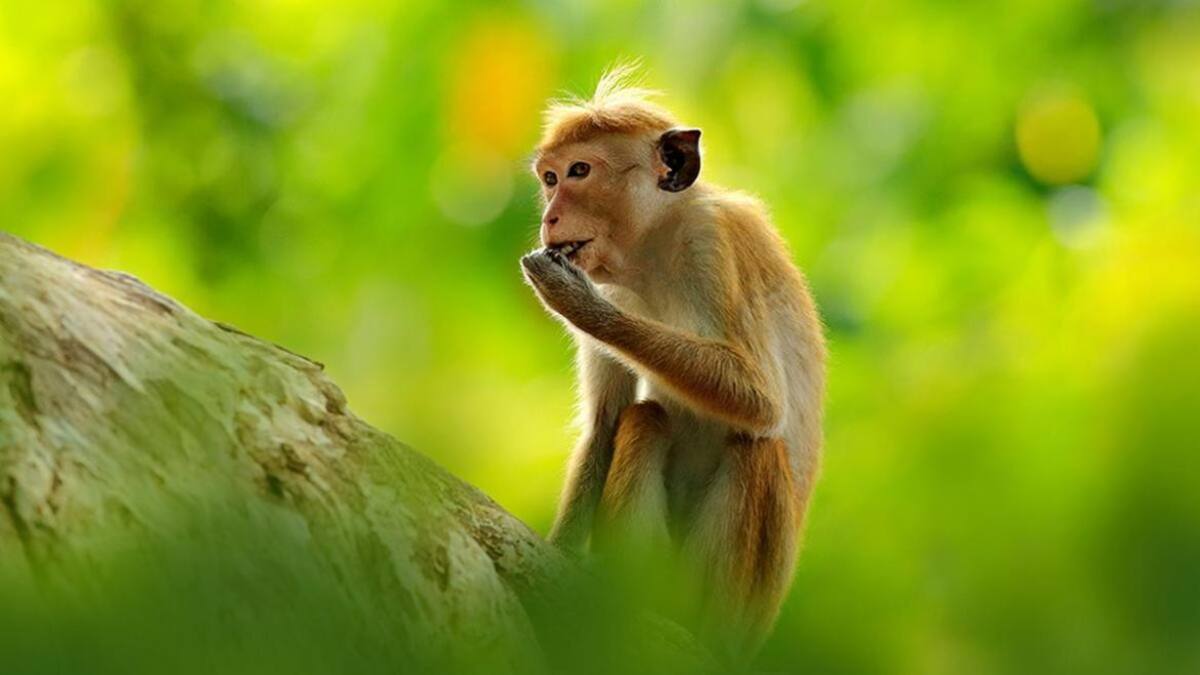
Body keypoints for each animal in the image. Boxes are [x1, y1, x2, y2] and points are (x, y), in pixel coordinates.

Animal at [520, 66, 826, 660]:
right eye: (549, 178)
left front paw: (578, 305)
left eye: (579, 171)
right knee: (645, 419)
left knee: (757, 447)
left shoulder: (713, 245)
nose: (549, 216)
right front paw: (558, 554)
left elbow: (761, 400)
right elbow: (606, 424)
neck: (651, 253)